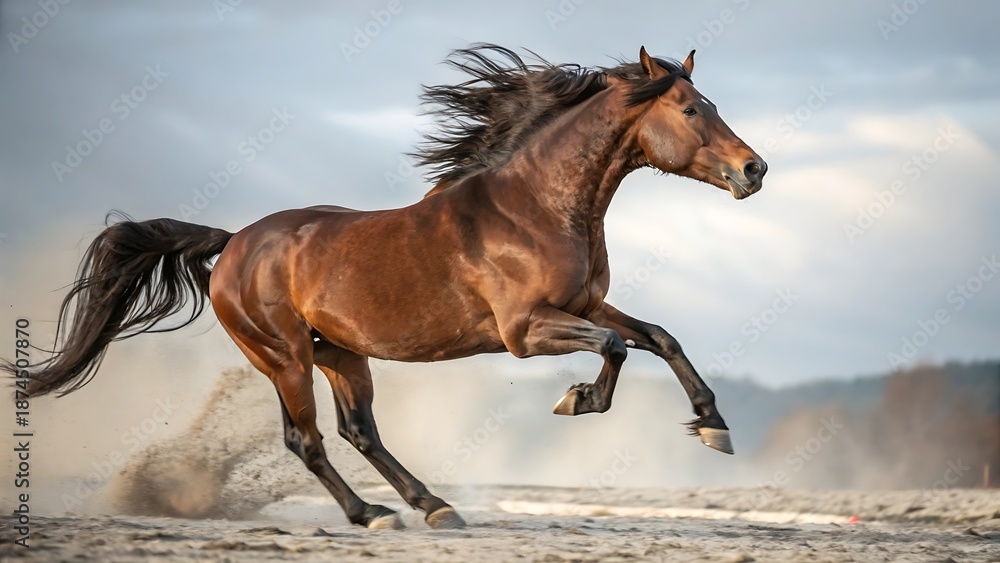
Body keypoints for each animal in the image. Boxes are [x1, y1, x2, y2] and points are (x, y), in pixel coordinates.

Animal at [5, 44, 766, 530]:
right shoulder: (525, 329)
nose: (754, 169)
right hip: (283, 356)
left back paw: (433, 505)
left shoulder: (581, 303)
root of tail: (232, 245)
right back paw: (370, 514)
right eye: (692, 110)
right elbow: (615, 346)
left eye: (710, 103)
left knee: (358, 430)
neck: (536, 206)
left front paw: (713, 425)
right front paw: (577, 399)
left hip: (341, 352)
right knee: (308, 439)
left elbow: (659, 336)